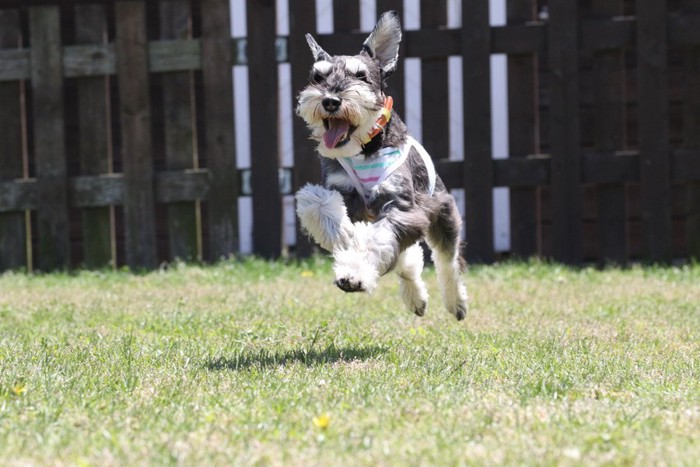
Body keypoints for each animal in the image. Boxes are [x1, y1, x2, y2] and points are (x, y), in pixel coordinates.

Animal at [292, 11, 468, 320]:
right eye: (318, 76)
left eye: (361, 76)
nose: (330, 100)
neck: (364, 148)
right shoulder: (343, 192)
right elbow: (318, 202)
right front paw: (343, 235)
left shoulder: (403, 207)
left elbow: (375, 240)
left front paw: (354, 274)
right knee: (406, 260)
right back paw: (416, 298)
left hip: (443, 211)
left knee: (448, 259)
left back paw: (455, 302)